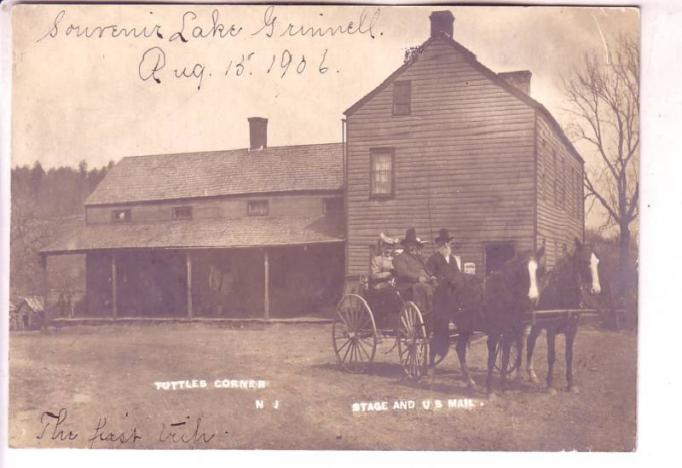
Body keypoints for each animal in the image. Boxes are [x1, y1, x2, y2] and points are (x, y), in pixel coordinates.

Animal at [524, 239, 600, 394]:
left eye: (597, 262)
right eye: (585, 261)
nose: (596, 289)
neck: (561, 293)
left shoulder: (572, 330)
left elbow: (569, 356)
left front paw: (570, 384)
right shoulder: (551, 330)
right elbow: (551, 356)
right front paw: (550, 385)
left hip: (537, 326)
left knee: (530, 341)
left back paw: (532, 375)